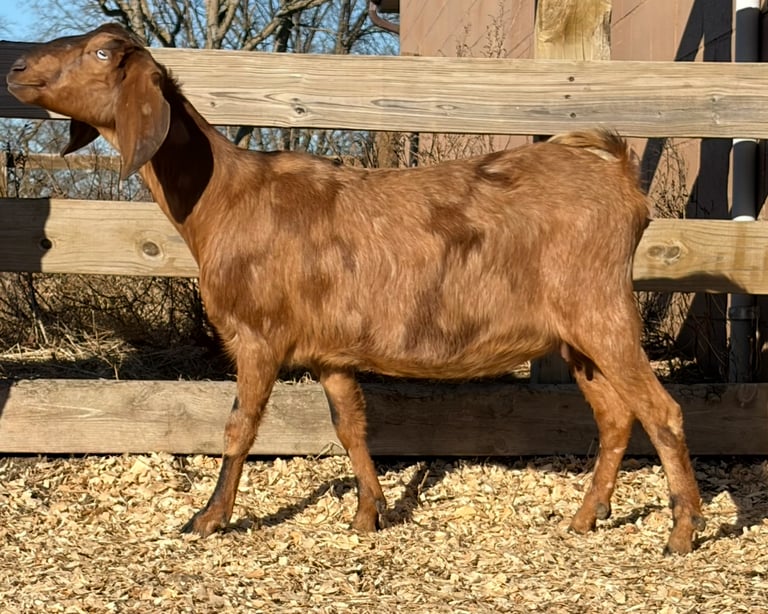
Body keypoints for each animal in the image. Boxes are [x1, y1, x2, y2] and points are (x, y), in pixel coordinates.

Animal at [7, 24, 703, 554]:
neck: (224, 198)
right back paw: (584, 519)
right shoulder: (331, 353)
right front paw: (370, 513)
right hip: (578, 335)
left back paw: (681, 532)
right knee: (616, 416)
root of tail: (619, 174)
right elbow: (352, 427)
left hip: (602, 311)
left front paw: (208, 518)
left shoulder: (258, 336)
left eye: (103, 53)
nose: (15, 66)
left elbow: (239, 427)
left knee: (662, 411)